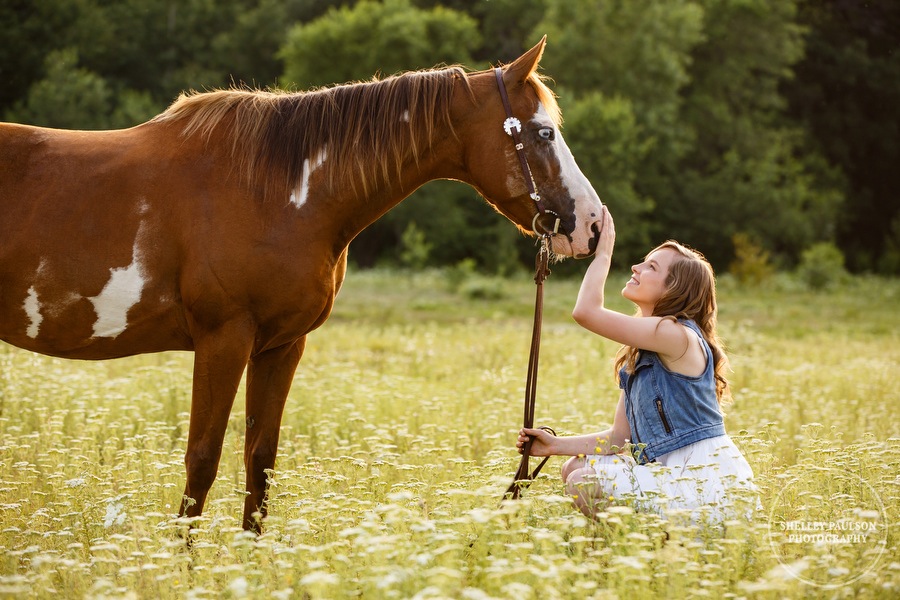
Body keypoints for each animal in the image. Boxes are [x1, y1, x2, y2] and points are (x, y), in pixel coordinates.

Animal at [1, 38, 604, 528]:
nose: (593, 225)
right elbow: (202, 461)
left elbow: (259, 461)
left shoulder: (281, 345)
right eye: (543, 132)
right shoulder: (223, 340)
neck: (279, 192)